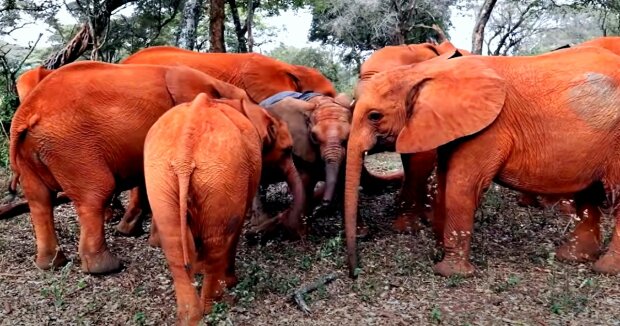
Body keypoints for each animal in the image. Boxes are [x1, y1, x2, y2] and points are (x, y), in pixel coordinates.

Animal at [144, 93, 294, 324]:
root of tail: (184, 153)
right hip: (220, 173)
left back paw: (190, 318)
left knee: (175, 243)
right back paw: (217, 304)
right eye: (288, 150)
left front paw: (198, 269)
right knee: (218, 238)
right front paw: (231, 280)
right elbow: (237, 225)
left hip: (161, 175)